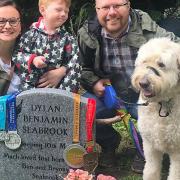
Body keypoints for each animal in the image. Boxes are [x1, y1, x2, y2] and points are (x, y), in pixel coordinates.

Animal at [131, 38, 180, 180]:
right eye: (144, 62)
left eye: (161, 64)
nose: (143, 83)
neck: (162, 104)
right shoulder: (150, 146)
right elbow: (151, 171)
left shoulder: (178, 151)